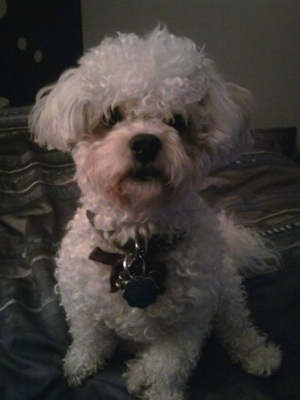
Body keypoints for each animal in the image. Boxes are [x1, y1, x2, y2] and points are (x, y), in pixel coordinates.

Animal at [29, 26, 282, 398]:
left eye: (178, 121)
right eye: (111, 116)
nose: (146, 142)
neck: (137, 247)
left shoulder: (189, 321)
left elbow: (169, 366)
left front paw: (161, 390)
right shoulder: (82, 306)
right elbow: (89, 341)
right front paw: (79, 366)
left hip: (225, 292)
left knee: (237, 326)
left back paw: (257, 354)